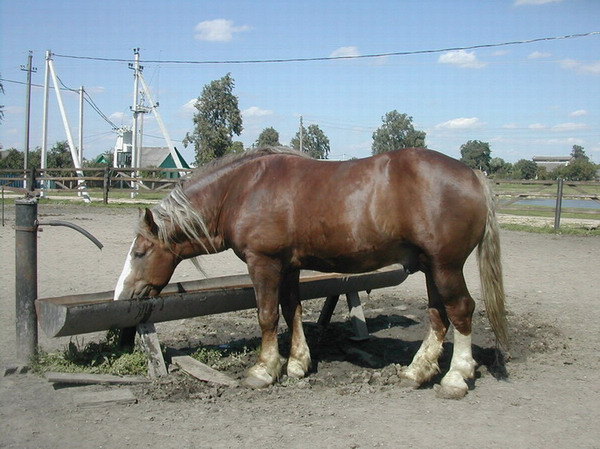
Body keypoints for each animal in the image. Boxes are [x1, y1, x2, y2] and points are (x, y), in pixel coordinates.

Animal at [113, 145, 506, 398]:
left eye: (140, 252)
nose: (121, 296)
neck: (242, 190)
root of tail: (473, 174)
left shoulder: (263, 262)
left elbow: (267, 314)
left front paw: (264, 370)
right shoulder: (288, 266)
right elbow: (292, 311)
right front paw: (297, 364)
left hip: (445, 266)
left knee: (461, 311)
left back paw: (456, 377)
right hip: (430, 268)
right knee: (439, 315)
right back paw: (417, 371)